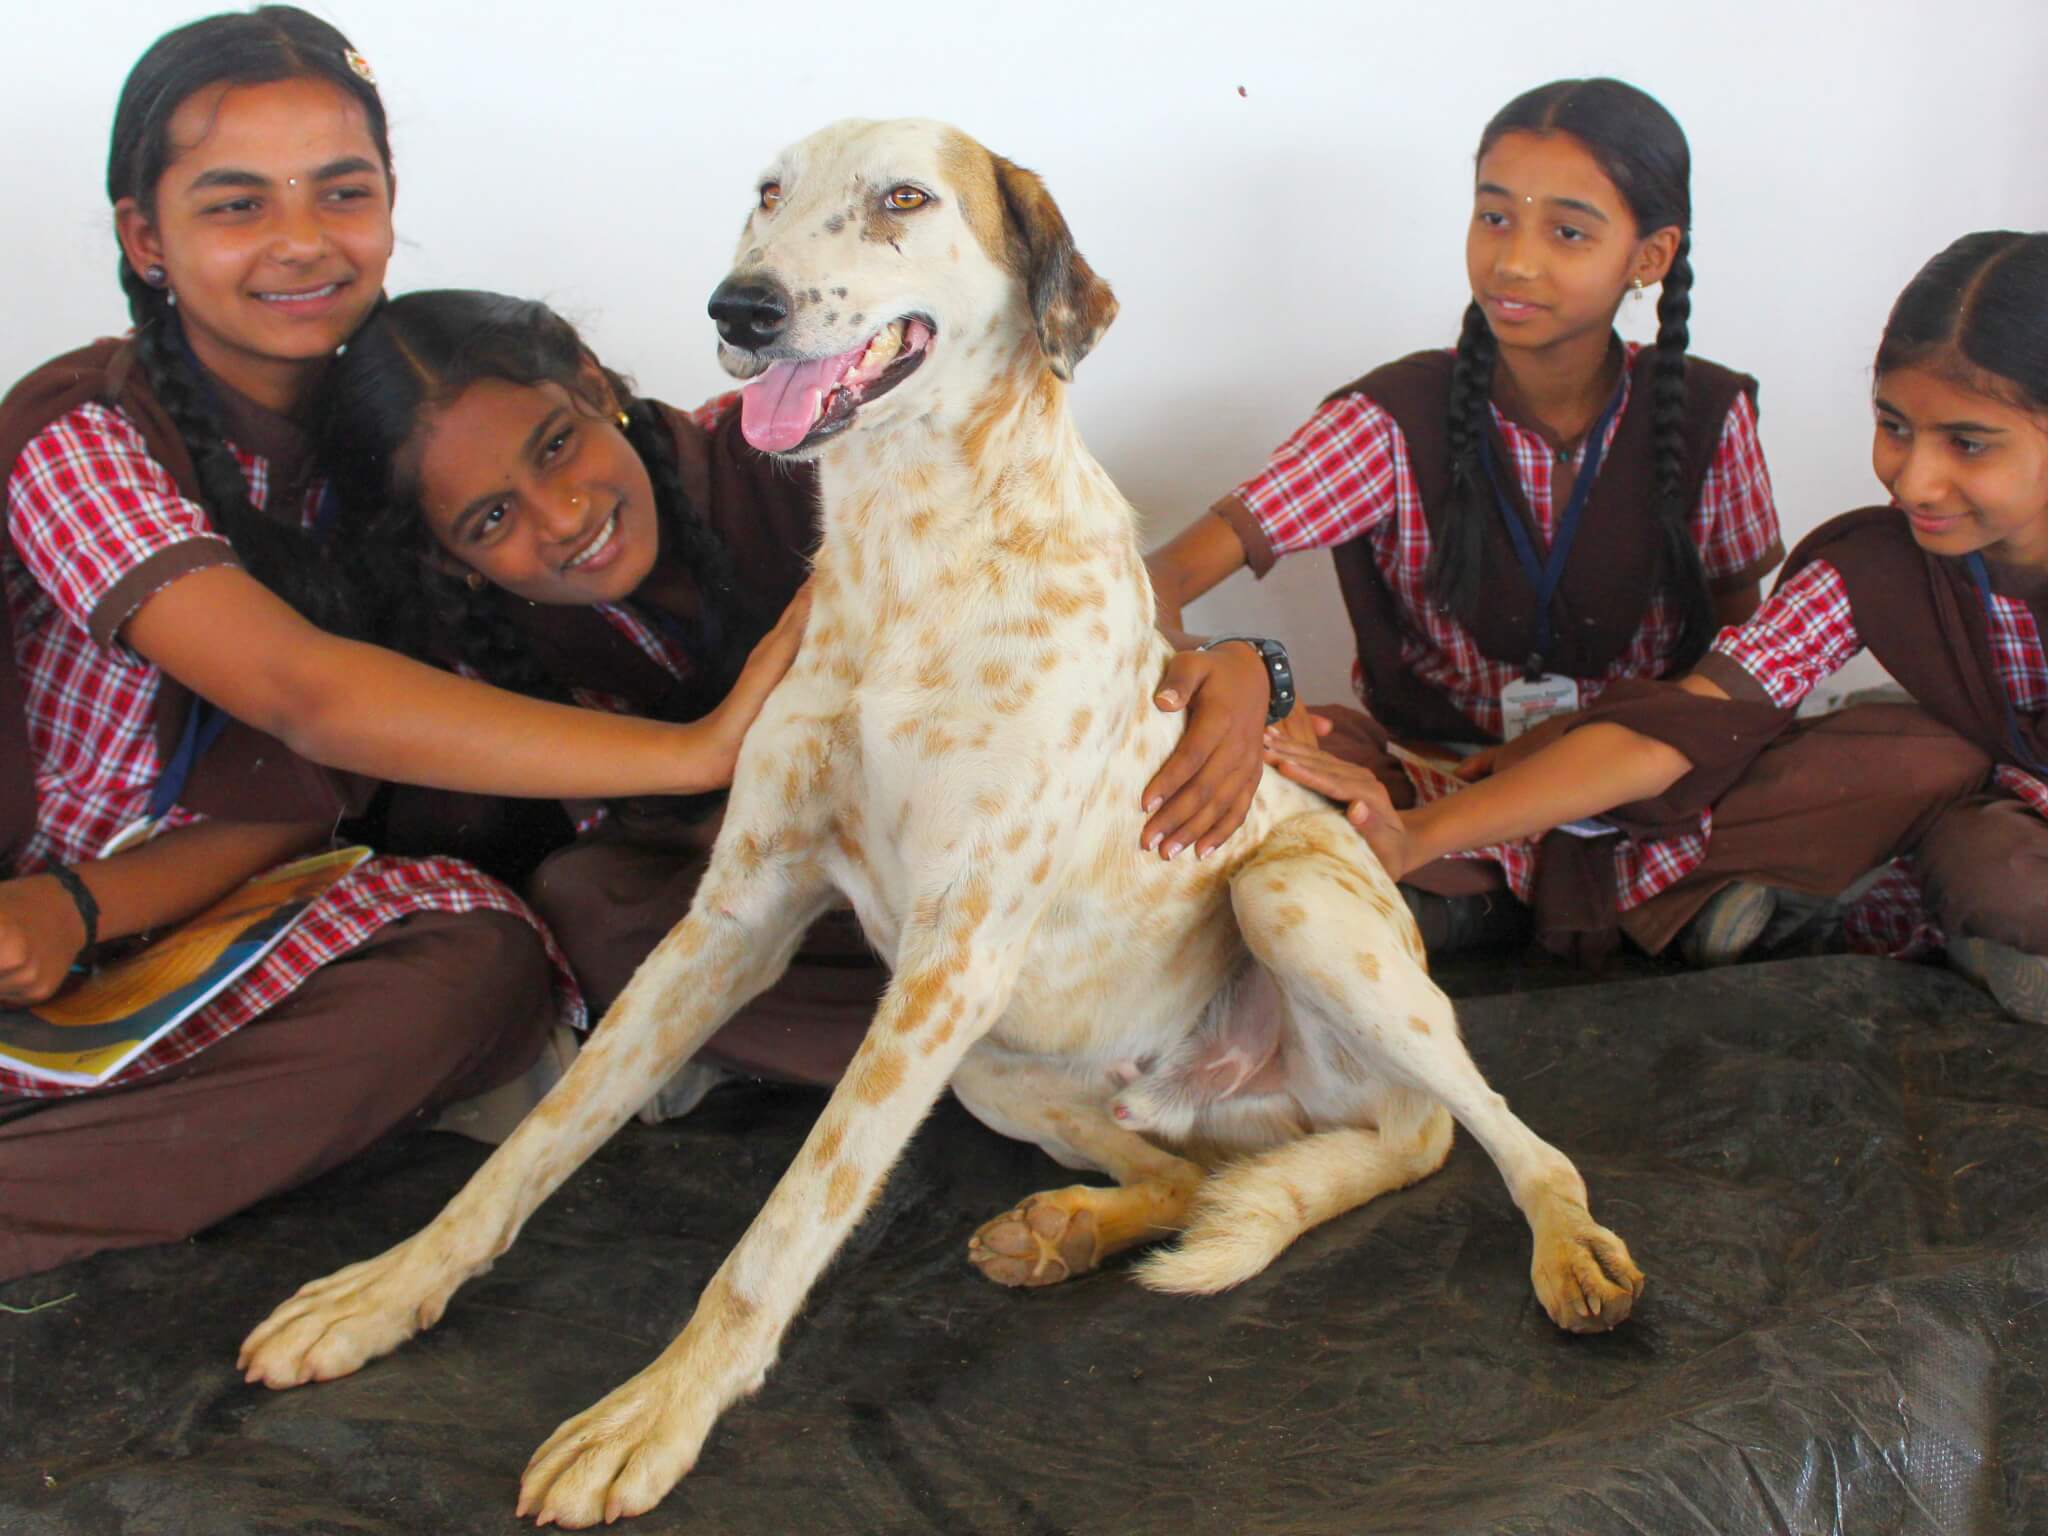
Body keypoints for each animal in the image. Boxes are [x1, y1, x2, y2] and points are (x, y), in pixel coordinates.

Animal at [239, 120, 1646, 1531]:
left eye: (904, 199)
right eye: (764, 195)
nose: (737, 308)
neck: (908, 546)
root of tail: (1288, 1109)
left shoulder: (947, 957)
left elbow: (789, 1218)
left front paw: (655, 1412)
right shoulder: (738, 919)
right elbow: (539, 1138)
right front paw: (385, 1291)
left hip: (1285, 909)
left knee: (1498, 1137)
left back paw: (1565, 1244)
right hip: (991, 1069)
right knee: (1189, 1178)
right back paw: (1067, 1229)